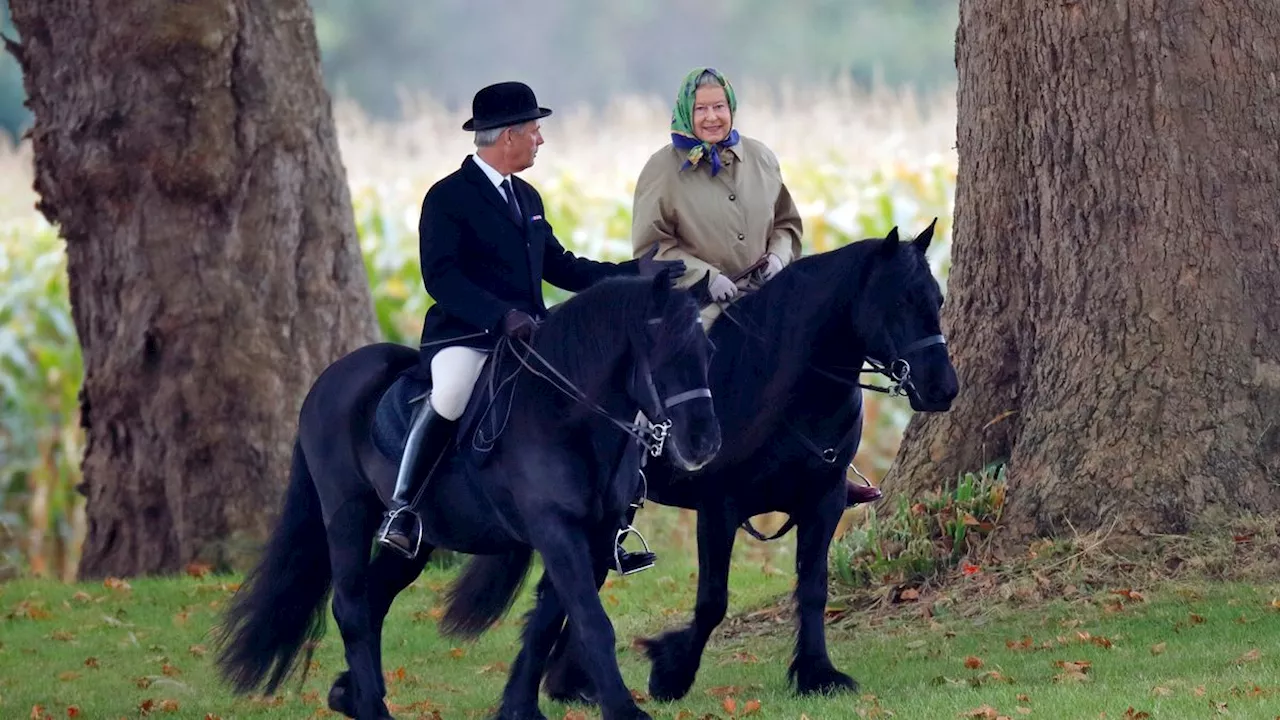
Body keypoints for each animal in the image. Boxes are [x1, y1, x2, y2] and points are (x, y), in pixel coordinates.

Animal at [215, 270, 727, 717]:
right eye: (661, 354)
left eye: (708, 350)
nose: (703, 444)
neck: (565, 415)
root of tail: (328, 380)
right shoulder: (556, 530)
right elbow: (590, 621)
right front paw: (624, 711)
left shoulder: (596, 536)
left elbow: (547, 622)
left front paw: (519, 708)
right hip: (347, 514)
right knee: (351, 605)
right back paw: (374, 709)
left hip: (417, 540)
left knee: (375, 597)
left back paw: (352, 696)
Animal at [535, 220, 957, 702]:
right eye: (898, 301)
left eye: (938, 299)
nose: (943, 388)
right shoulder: (718, 508)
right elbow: (712, 600)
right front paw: (671, 672)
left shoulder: (825, 500)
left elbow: (813, 588)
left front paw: (818, 673)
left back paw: (571, 680)